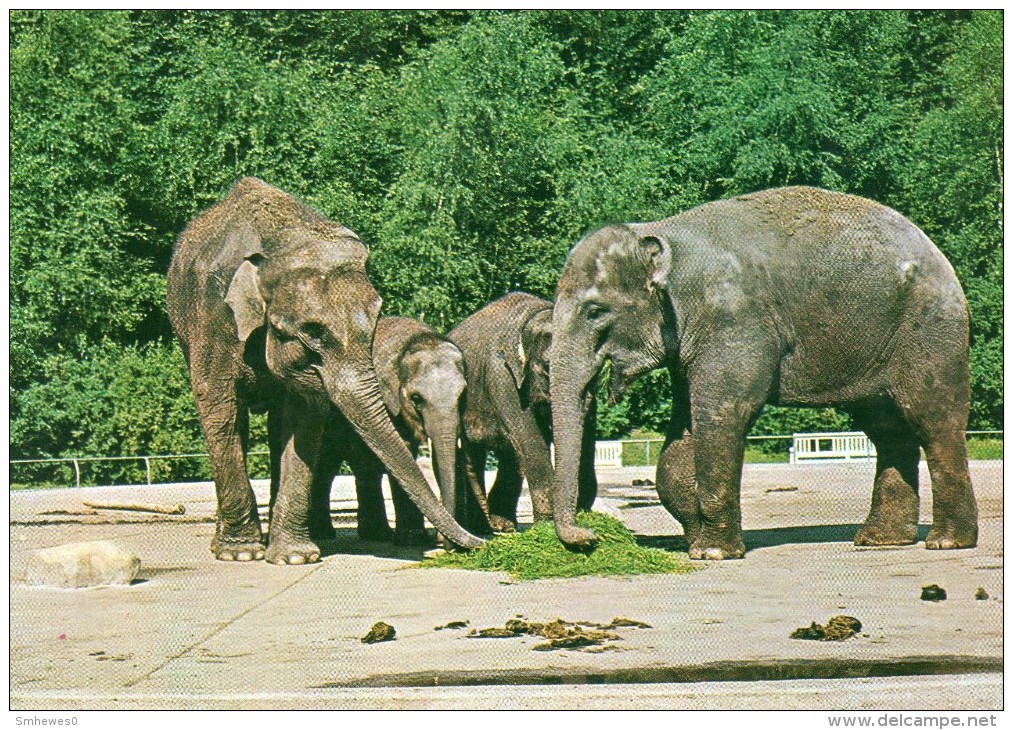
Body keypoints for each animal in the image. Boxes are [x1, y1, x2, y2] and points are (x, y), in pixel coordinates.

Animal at [309, 315, 468, 542]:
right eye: (416, 399)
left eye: (462, 395)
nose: (444, 542)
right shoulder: (383, 399)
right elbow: (402, 449)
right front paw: (412, 540)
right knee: (330, 463)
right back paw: (331, 534)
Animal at [447, 289, 595, 530]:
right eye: (548, 368)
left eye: (596, 369)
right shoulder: (502, 376)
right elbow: (529, 438)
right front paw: (546, 526)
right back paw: (482, 527)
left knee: (509, 456)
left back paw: (501, 525)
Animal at [551, 186, 976, 558]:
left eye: (595, 311)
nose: (589, 537)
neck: (660, 233)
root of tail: (939, 254)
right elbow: (684, 430)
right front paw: (695, 540)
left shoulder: (736, 318)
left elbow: (723, 413)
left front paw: (712, 552)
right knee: (887, 429)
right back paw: (879, 541)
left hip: (931, 330)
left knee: (934, 420)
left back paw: (946, 542)